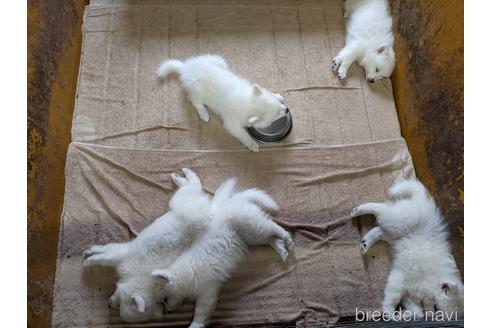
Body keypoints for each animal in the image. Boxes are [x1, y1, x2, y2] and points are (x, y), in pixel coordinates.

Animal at [83, 168, 213, 322]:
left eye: (120, 305)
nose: (109, 305)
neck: (136, 278)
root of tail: (210, 210)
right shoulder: (121, 255)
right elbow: (103, 255)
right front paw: (87, 257)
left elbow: (104, 255)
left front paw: (87, 258)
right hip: (182, 201)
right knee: (192, 185)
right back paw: (180, 175)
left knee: (193, 187)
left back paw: (180, 177)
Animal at [152, 179, 294, 328]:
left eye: (165, 299)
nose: (169, 312)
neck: (186, 275)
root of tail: (236, 200)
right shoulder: (208, 289)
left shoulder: (207, 291)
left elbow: (200, 312)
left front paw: (195, 325)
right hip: (253, 236)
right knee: (272, 239)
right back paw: (282, 250)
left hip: (253, 227)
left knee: (275, 228)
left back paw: (288, 240)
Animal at [158, 53, 288, 151]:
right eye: (276, 114)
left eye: (279, 107)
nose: (287, 109)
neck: (249, 102)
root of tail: (185, 68)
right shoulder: (232, 124)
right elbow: (243, 135)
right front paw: (252, 145)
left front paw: (278, 95)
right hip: (197, 89)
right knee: (195, 101)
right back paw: (204, 114)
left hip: (218, 61)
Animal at [352, 179, 464, 320]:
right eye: (436, 308)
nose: (431, 316)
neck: (432, 278)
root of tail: (421, 199)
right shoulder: (399, 278)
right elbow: (393, 297)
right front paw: (389, 312)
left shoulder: (410, 295)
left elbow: (417, 312)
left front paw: (403, 314)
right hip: (398, 221)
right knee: (381, 209)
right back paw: (357, 210)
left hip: (393, 233)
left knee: (379, 230)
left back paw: (365, 243)